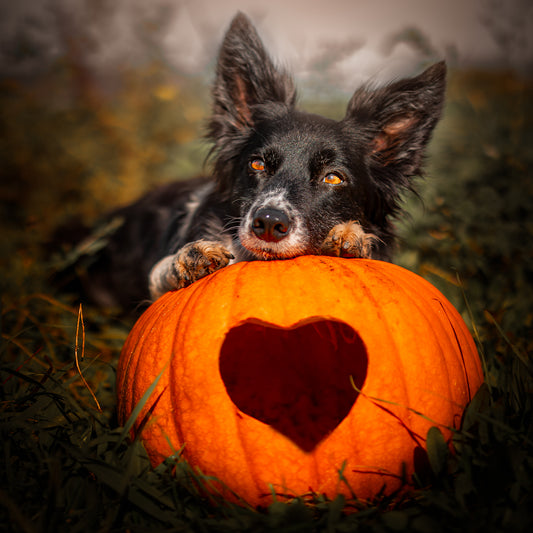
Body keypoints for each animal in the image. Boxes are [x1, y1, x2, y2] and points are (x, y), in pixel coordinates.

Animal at [59, 12, 444, 310]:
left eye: (333, 178)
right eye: (257, 164)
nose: (268, 223)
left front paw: (351, 236)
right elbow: (162, 270)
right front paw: (186, 260)